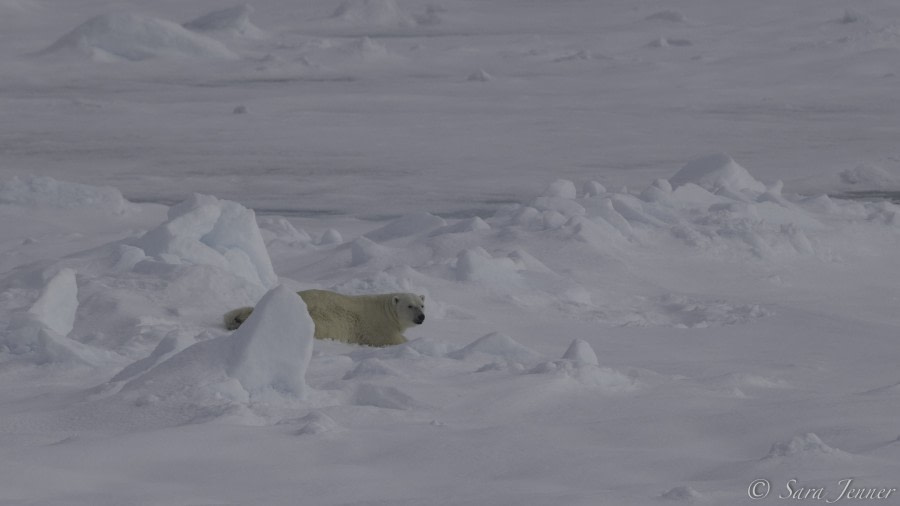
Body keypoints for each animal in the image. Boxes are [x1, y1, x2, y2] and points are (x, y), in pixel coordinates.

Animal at [223, 288, 424, 348]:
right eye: (410, 305)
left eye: (422, 305)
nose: (421, 317)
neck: (385, 309)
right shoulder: (378, 325)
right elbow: (392, 339)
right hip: (320, 319)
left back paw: (236, 319)